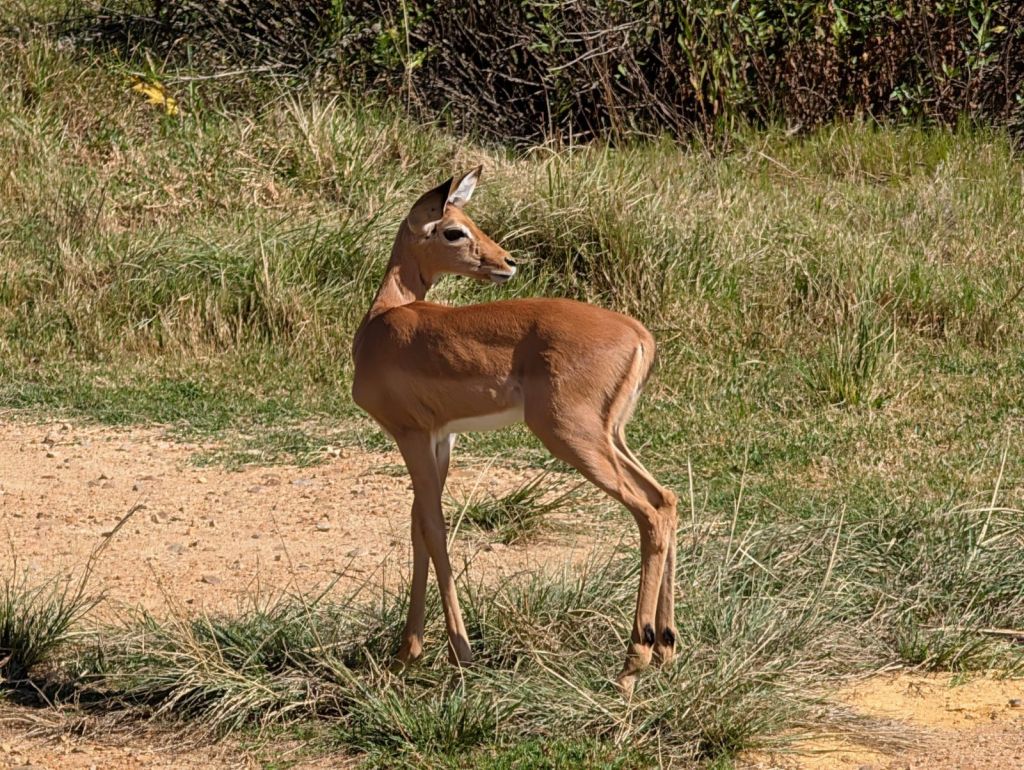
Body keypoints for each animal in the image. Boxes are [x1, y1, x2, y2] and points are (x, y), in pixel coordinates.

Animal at [351, 166, 678, 695]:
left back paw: (633, 663)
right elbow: (419, 525)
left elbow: (435, 528)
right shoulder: (441, 438)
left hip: (572, 437)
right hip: (611, 436)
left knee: (648, 512)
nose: (507, 262)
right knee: (666, 499)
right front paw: (406, 654)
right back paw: (665, 649)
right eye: (455, 229)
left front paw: (460, 654)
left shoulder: (410, 434)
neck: (384, 322)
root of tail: (639, 334)